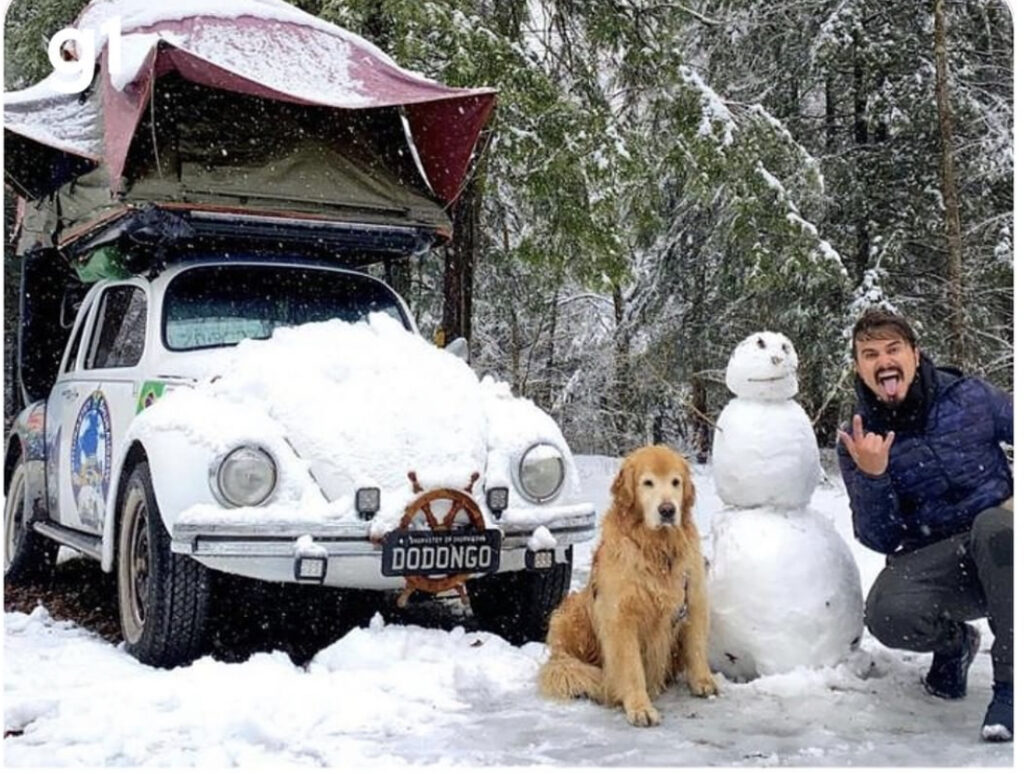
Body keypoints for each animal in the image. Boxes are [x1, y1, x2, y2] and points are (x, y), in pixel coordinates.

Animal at [540, 444, 716, 720]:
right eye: (648, 483)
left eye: (676, 482)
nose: (668, 510)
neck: (657, 549)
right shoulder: (620, 616)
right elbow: (631, 667)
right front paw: (640, 707)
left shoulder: (693, 597)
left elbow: (696, 646)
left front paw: (703, 681)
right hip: (570, 611)